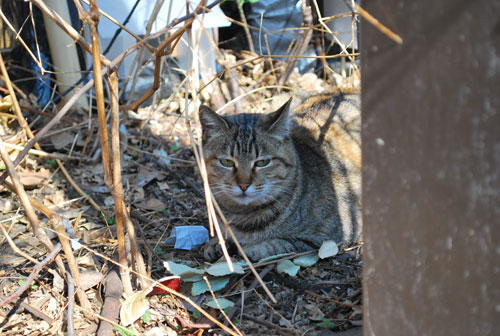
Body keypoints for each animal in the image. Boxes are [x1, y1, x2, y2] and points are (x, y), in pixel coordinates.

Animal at [198, 90, 360, 262]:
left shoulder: (325, 239)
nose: (243, 184)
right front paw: (218, 241)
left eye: (262, 162)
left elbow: (280, 244)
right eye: (227, 162)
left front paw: (250, 248)